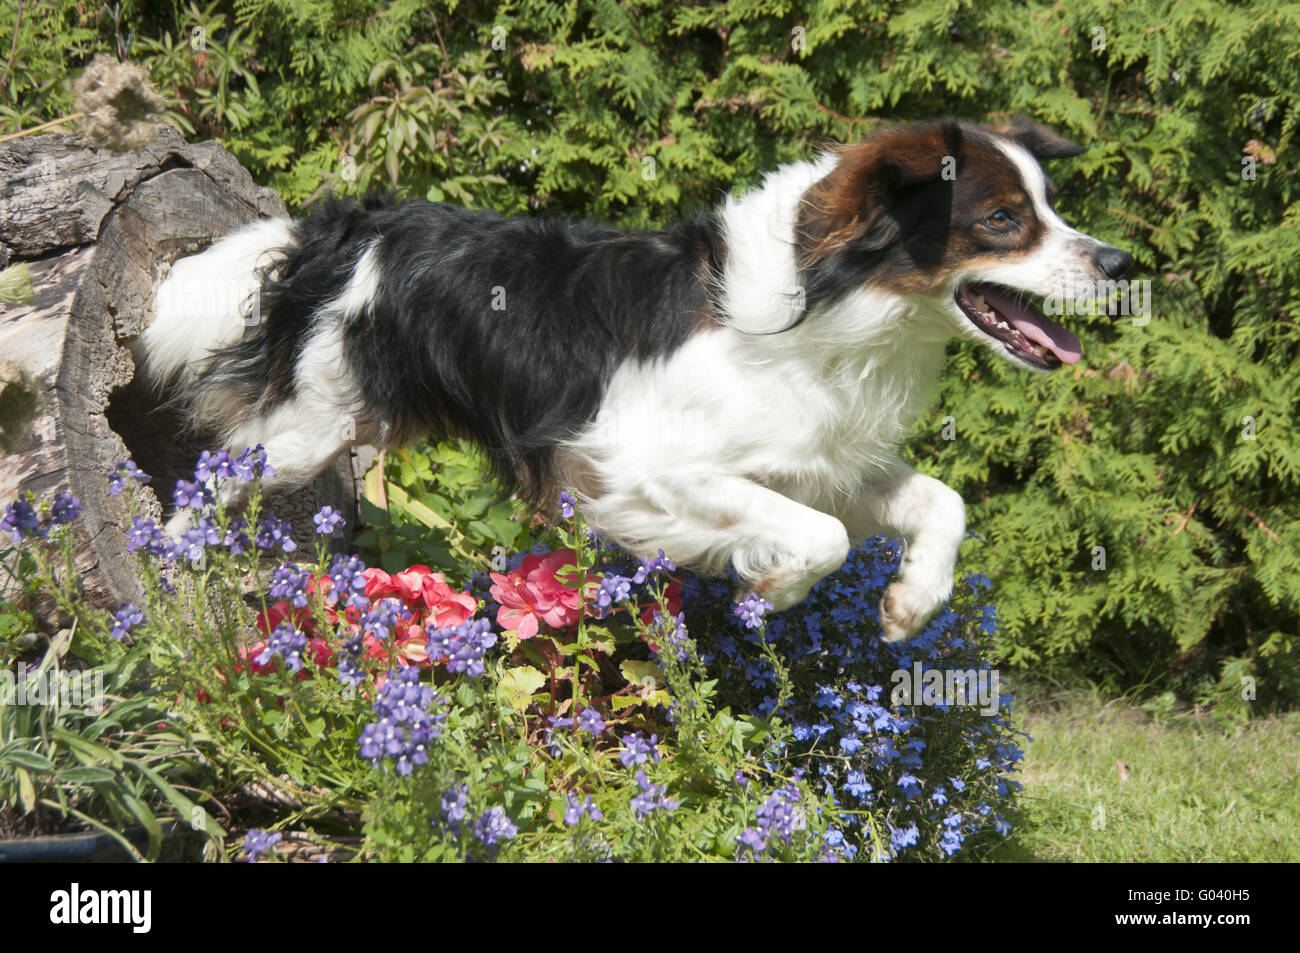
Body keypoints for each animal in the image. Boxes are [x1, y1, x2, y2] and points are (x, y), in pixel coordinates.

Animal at [147, 117, 1133, 639]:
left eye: (1051, 209)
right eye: (1003, 220)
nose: (1123, 263)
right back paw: (167, 569)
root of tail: (349, 226)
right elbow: (820, 539)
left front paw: (911, 601)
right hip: (306, 429)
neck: (827, 307)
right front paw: (771, 591)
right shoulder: (648, 467)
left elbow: (940, 500)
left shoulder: (817, 459)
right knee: (208, 483)